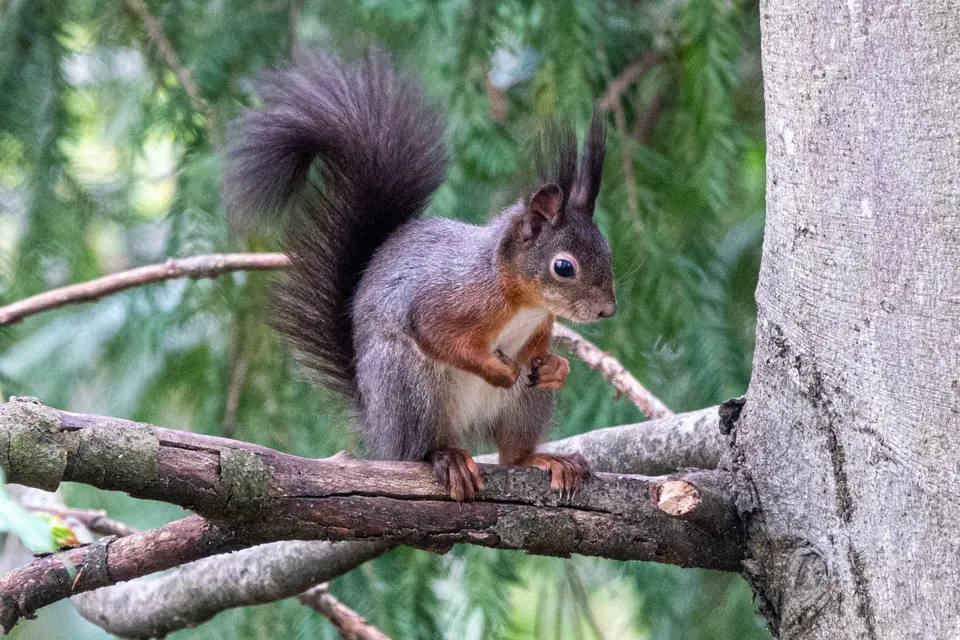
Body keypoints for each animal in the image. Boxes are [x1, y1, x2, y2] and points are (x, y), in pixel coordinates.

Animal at [224, 52, 616, 501]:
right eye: (564, 267)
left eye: (607, 250)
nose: (608, 310)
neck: (523, 303)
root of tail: (380, 428)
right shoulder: (453, 296)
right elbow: (436, 333)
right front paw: (497, 370)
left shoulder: (538, 326)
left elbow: (537, 356)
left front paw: (556, 367)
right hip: (409, 386)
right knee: (419, 449)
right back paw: (446, 458)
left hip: (523, 405)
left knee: (512, 453)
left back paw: (544, 458)